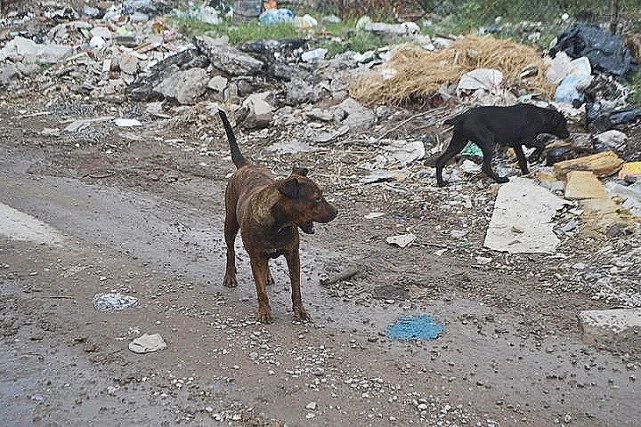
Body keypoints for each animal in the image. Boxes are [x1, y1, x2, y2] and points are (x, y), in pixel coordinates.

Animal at [219, 108, 338, 322]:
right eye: (317, 198)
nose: (336, 212)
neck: (277, 223)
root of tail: (245, 165)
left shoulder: (293, 256)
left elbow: (296, 288)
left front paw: (300, 310)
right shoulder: (255, 257)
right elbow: (260, 291)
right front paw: (264, 311)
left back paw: (267, 275)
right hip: (230, 223)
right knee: (230, 250)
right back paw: (230, 276)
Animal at [436, 103, 568, 186]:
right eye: (563, 124)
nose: (568, 134)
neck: (541, 116)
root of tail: (460, 118)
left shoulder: (516, 143)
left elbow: (522, 160)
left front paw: (526, 173)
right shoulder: (527, 139)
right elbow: (541, 145)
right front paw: (533, 157)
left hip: (458, 143)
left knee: (440, 160)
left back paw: (441, 183)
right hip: (488, 142)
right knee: (486, 166)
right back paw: (500, 180)